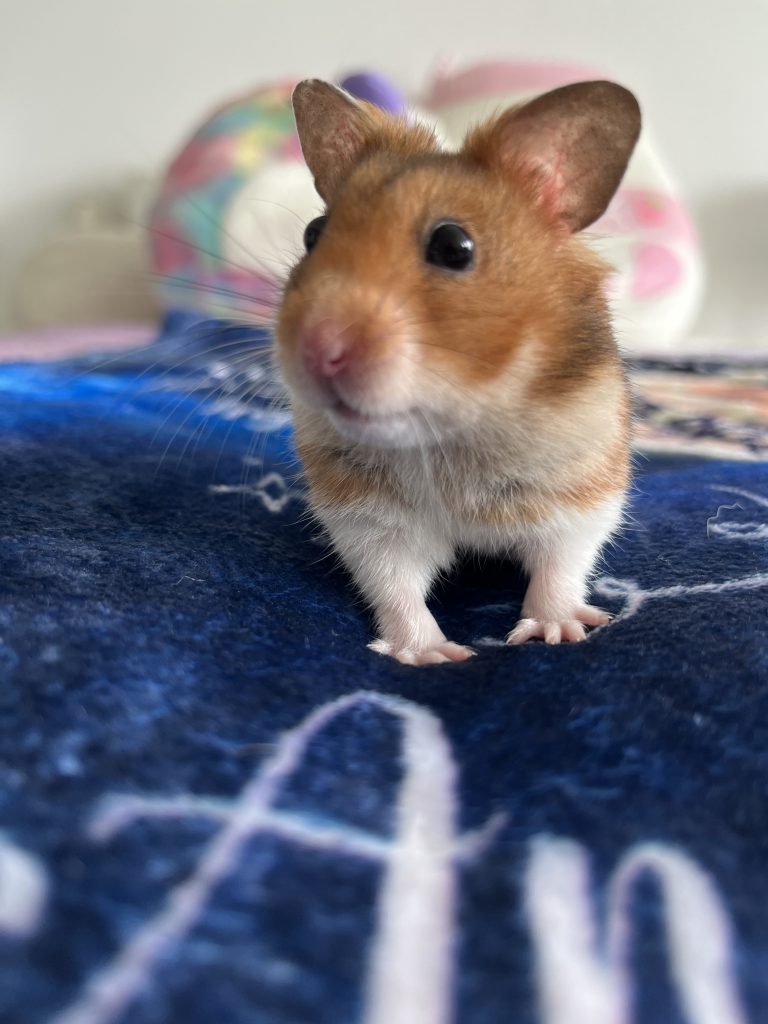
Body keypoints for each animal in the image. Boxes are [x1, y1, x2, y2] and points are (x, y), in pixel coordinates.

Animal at [276, 74, 643, 663]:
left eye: (454, 246)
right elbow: (396, 587)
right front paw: (429, 655)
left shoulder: (583, 491)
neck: (452, 424)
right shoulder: (369, 520)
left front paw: (555, 633)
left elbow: (560, 565)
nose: (315, 351)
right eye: (313, 233)